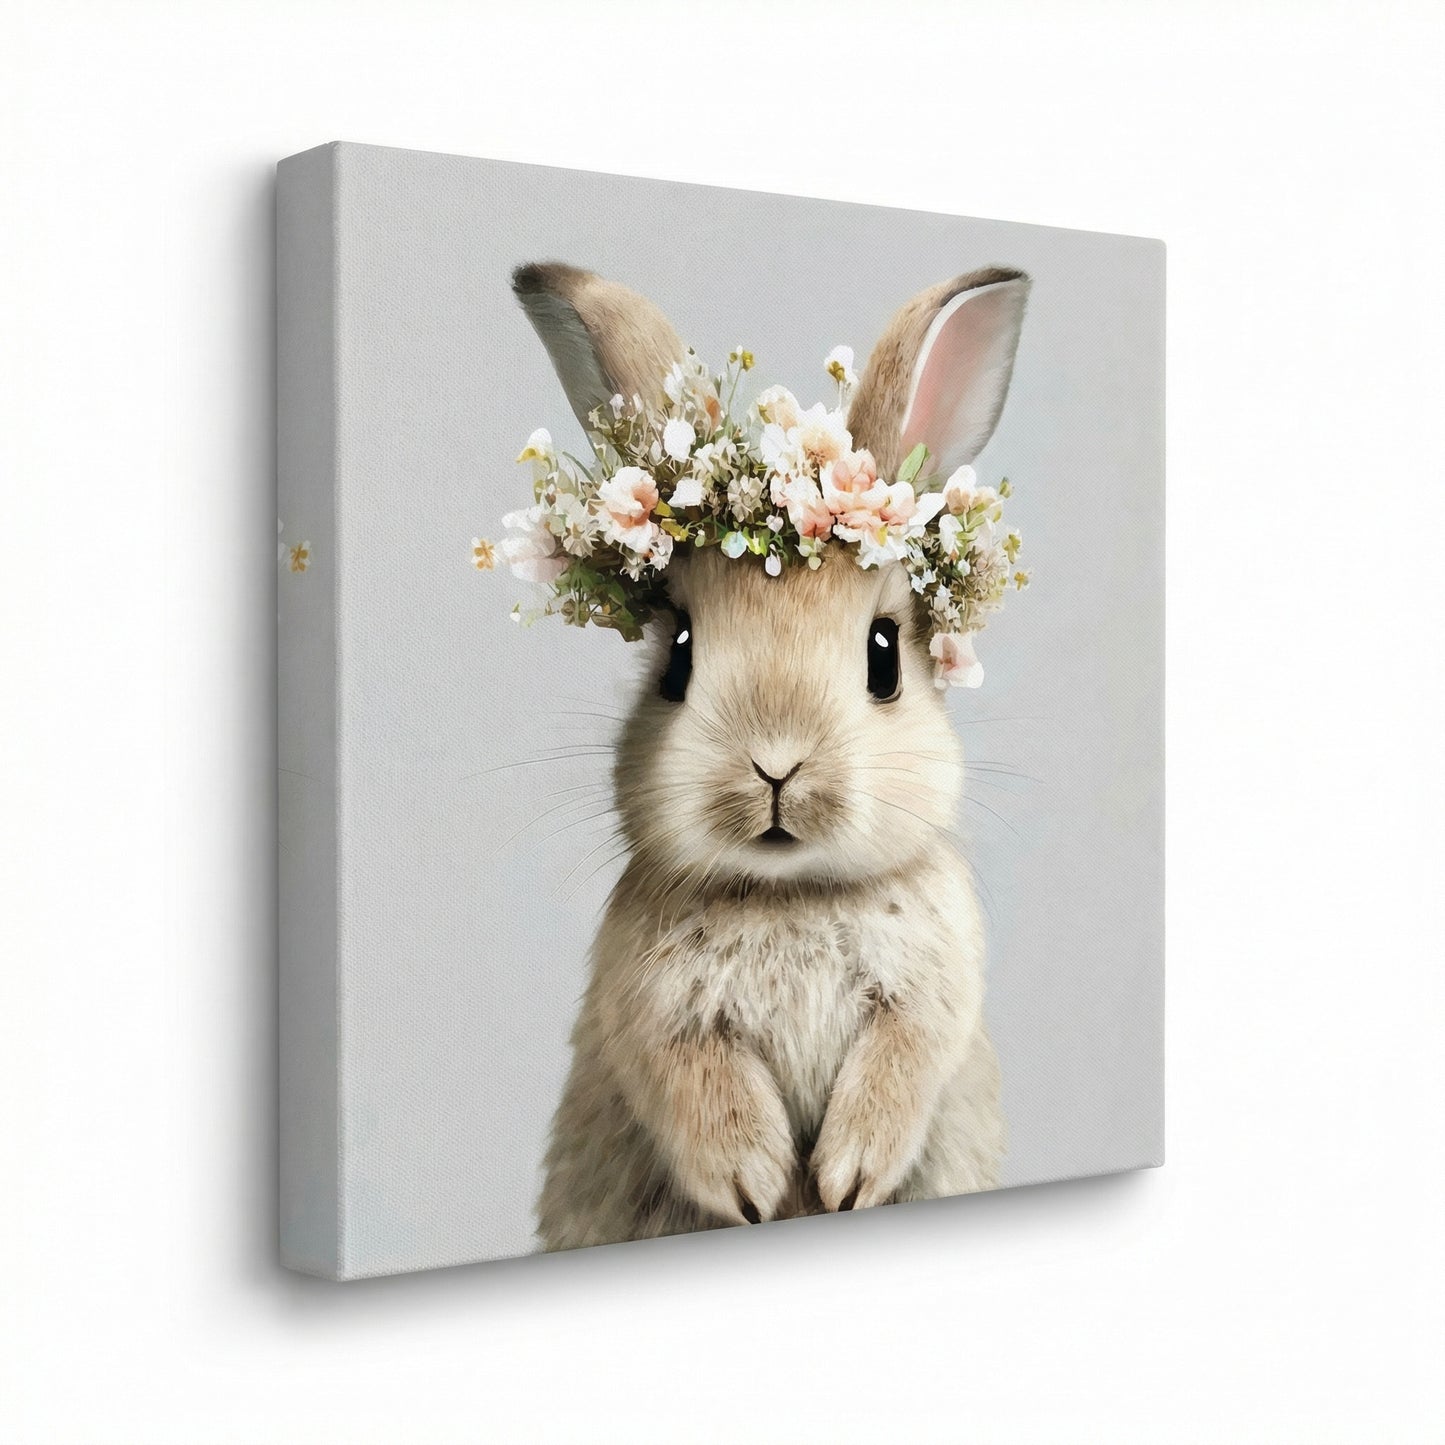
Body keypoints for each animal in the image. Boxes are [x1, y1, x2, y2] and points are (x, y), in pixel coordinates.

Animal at [511, 259, 1031, 1251]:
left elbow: (902, 1061)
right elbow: (694, 1085)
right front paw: (756, 1184)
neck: (791, 894)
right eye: (677, 655)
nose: (776, 767)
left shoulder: (931, 993)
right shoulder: (652, 1014)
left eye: (883, 656)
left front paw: (844, 1175)